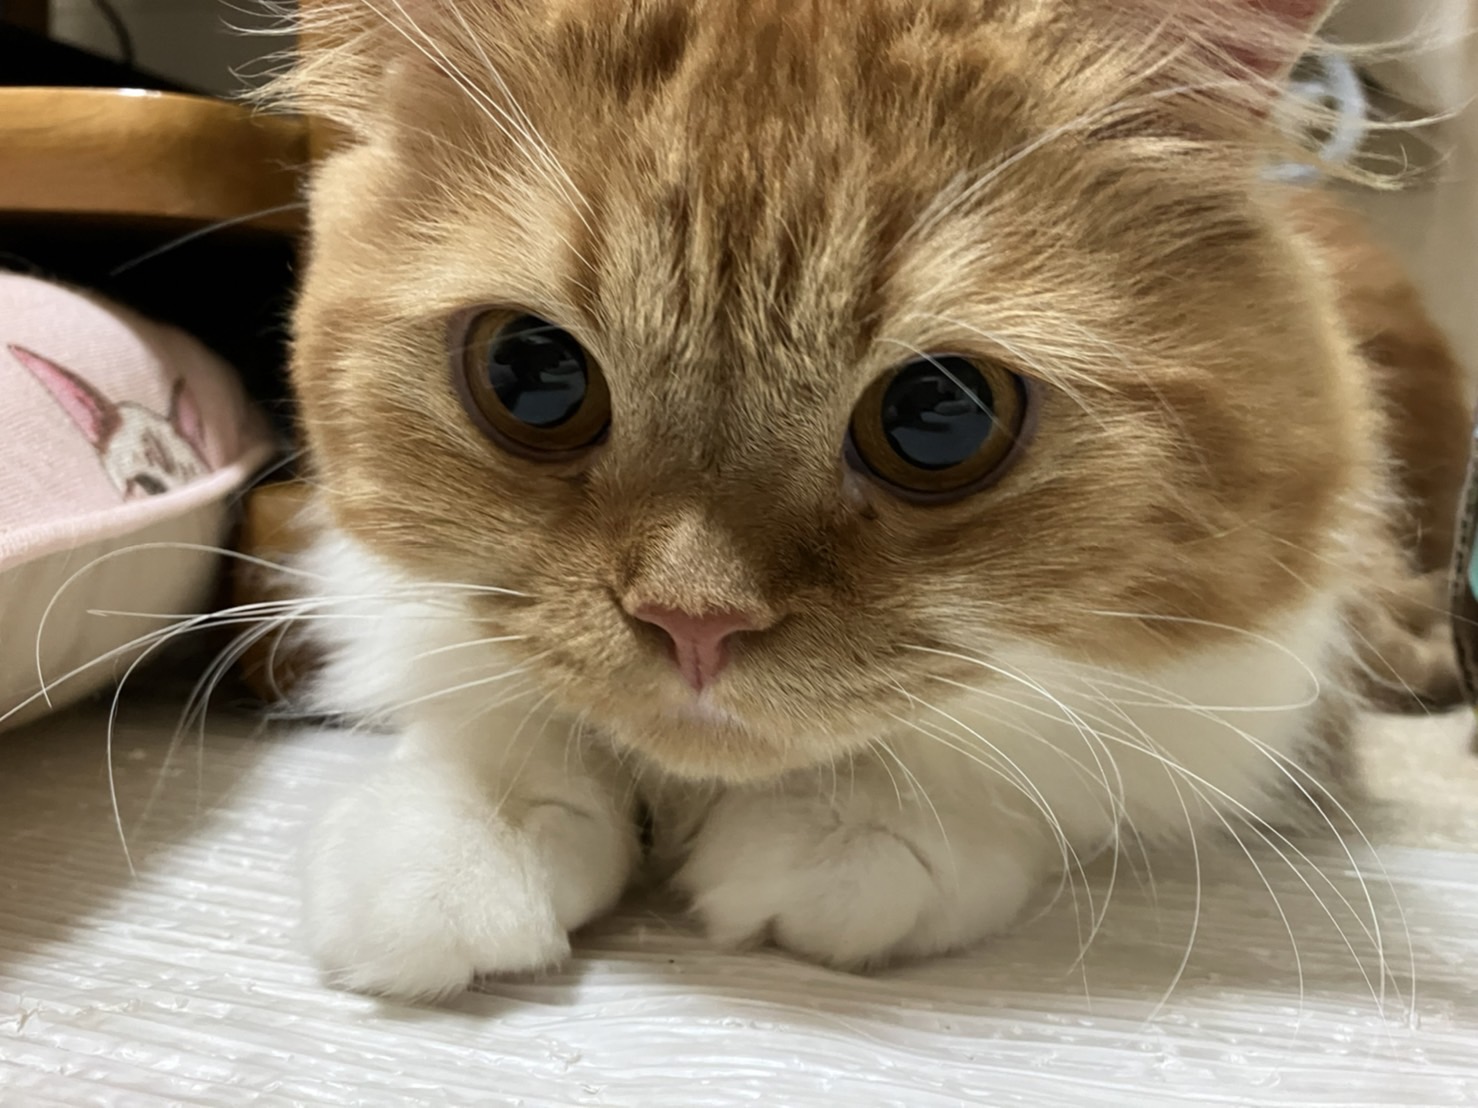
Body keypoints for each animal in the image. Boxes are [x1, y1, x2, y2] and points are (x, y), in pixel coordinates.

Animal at [267, 0, 1471, 1000]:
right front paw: (467, 836)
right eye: (532, 375)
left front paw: (859, 829)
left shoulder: (1248, 678)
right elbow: (495, 711)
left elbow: (1017, 754)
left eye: (940, 415)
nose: (693, 625)